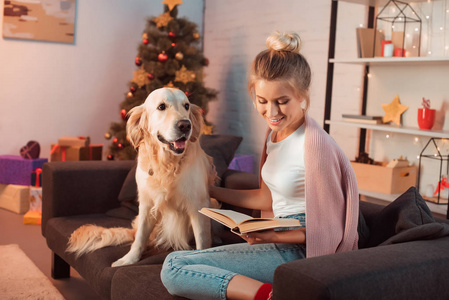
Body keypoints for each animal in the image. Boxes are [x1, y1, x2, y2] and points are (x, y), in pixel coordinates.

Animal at [67, 87, 219, 268]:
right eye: (161, 107)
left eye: (186, 106)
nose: (185, 125)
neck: (166, 164)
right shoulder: (147, 204)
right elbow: (140, 238)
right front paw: (129, 259)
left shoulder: (198, 204)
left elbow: (202, 241)